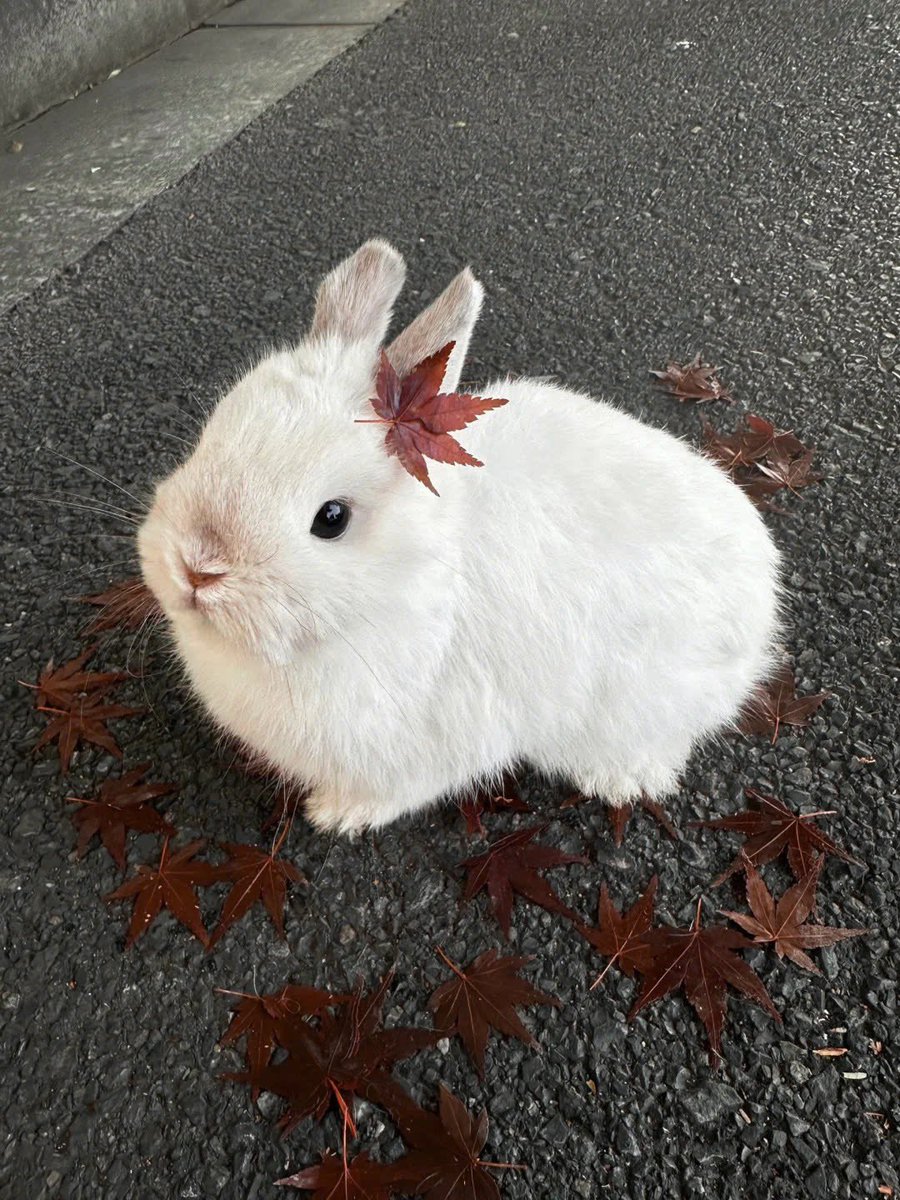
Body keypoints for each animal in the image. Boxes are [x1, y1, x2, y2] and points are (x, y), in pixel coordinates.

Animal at [138, 239, 780, 834]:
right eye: (208, 440)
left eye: (332, 518)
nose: (196, 569)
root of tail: (764, 603)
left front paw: (337, 816)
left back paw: (620, 778)